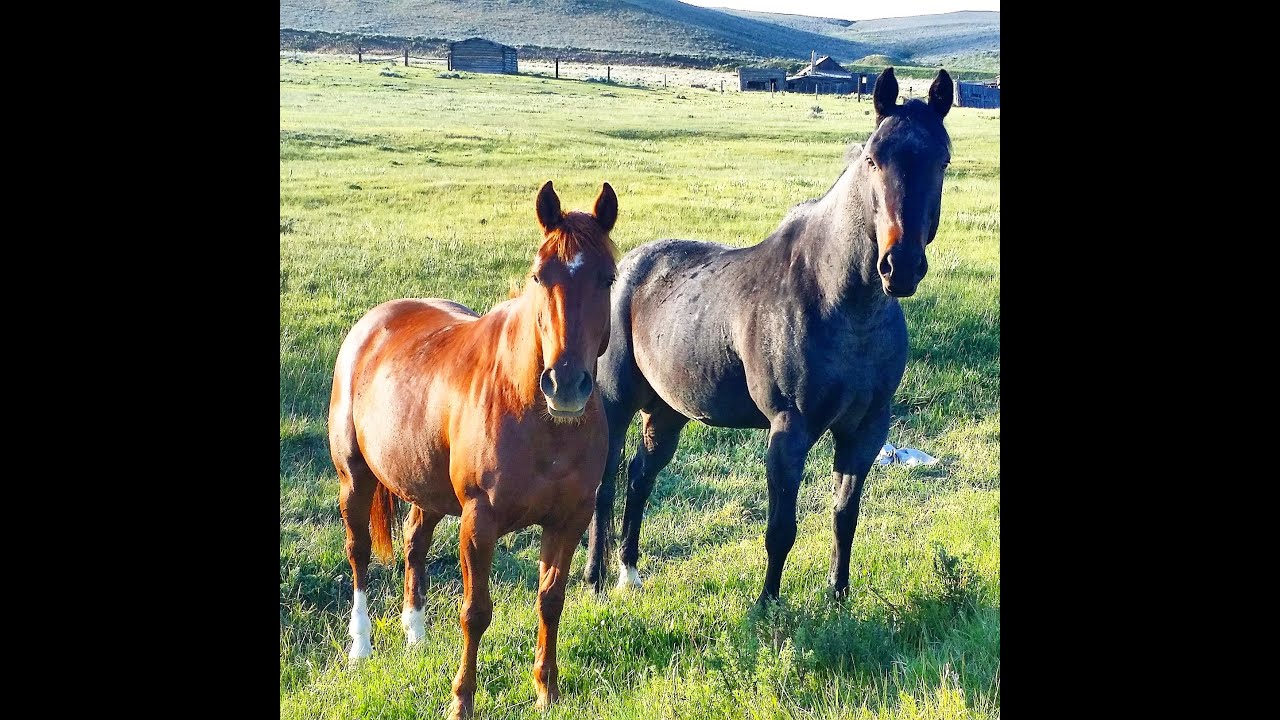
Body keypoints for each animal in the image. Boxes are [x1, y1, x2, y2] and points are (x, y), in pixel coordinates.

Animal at [328, 181, 619, 719]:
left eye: (607, 278)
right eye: (538, 275)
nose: (565, 385)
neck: (533, 412)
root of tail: (372, 325)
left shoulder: (570, 518)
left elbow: (551, 600)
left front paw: (547, 691)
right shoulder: (478, 520)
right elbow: (476, 612)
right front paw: (461, 699)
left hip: (425, 486)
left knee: (414, 544)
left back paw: (415, 633)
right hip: (354, 478)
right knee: (358, 552)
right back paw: (361, 645)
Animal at [583, 67, 954, 607]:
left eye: (942, 160)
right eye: (873, 159)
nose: (900, 266)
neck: (842, 302)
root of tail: (628, 267)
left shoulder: (865, 430)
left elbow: (845, 518)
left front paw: (838, 596)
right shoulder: (789, 429)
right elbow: (781, 529)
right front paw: (767, 606)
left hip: (669, 411)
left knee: (639, 477)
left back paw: (629, 572)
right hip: (615, 405)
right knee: (605, 484)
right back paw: (594, 579)